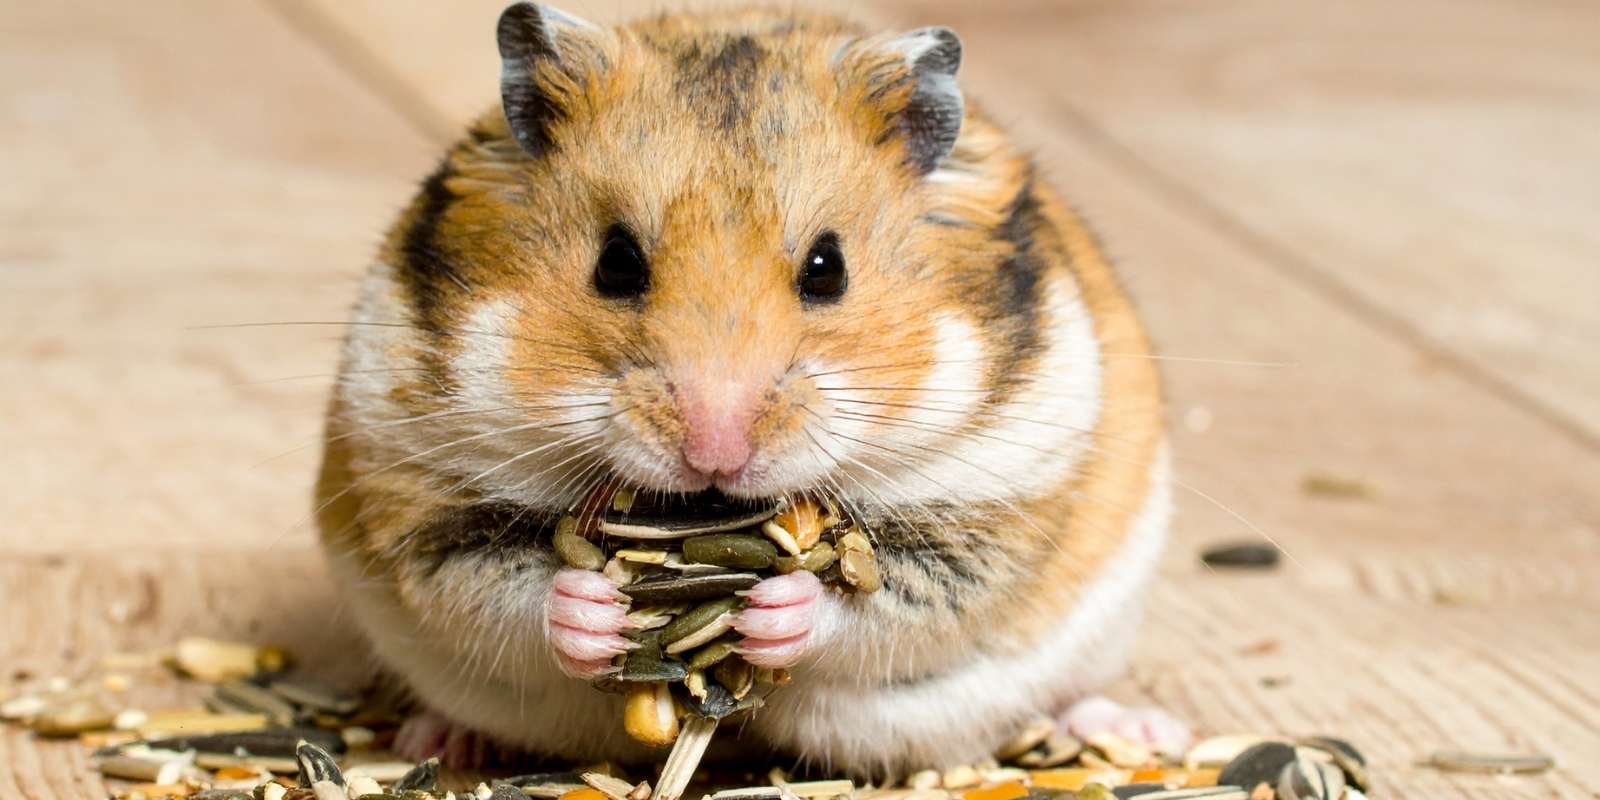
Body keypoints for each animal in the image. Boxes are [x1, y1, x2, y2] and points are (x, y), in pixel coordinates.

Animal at [314, 2, 1187, 776]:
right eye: (616, 263)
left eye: (828, 269)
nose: (715, 454)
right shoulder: (423, 493)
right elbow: (499, 588)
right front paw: (597, 610)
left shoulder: (990, 512)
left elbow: (877, 603)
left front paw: (772, 610)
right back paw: (432, 739)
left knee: (1063, 698)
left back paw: (1142, 731)